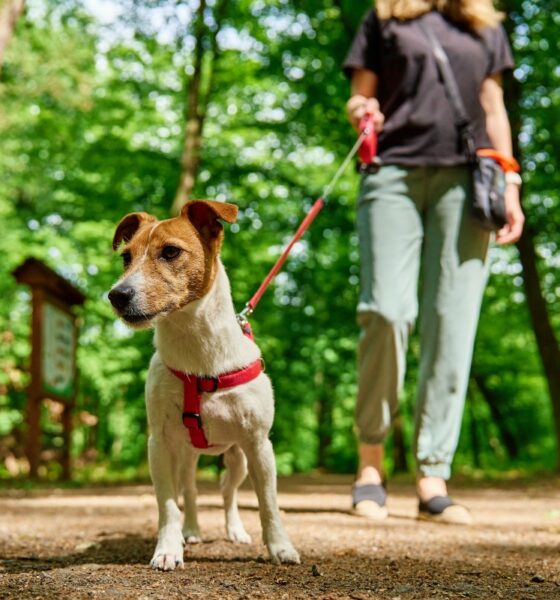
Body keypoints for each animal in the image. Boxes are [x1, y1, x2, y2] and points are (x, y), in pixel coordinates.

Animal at [107, 202, 300, 572]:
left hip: (239, 458)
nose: (116, 295)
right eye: (126, 257)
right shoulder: (159, 444)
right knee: (191, 491)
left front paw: (280, 547)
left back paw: (235, 530)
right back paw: (192, 530)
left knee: (228, 491)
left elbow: (269, 505)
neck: (198, 356)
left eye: (170, 252)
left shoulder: (259, 445)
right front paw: (168, 549)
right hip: (185, 456)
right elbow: (168, 505)